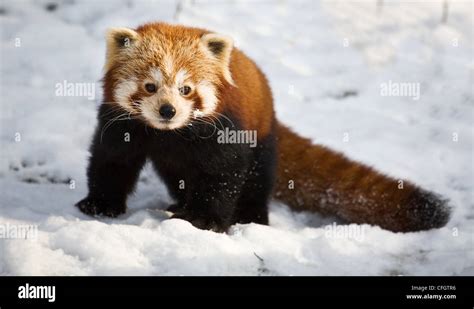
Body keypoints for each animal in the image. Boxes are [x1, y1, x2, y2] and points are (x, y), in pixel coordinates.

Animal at [76, 22, 450, 232]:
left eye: (186, 89)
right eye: (150, 87)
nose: (168, 111)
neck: (170, 134)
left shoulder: (226, 128)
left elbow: (223, 174)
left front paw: (205, 220)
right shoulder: (120, 121)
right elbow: (111, 160)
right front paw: (101, 204)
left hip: (263, 135)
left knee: (257, 178)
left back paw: (249, 215)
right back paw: (179, 203)